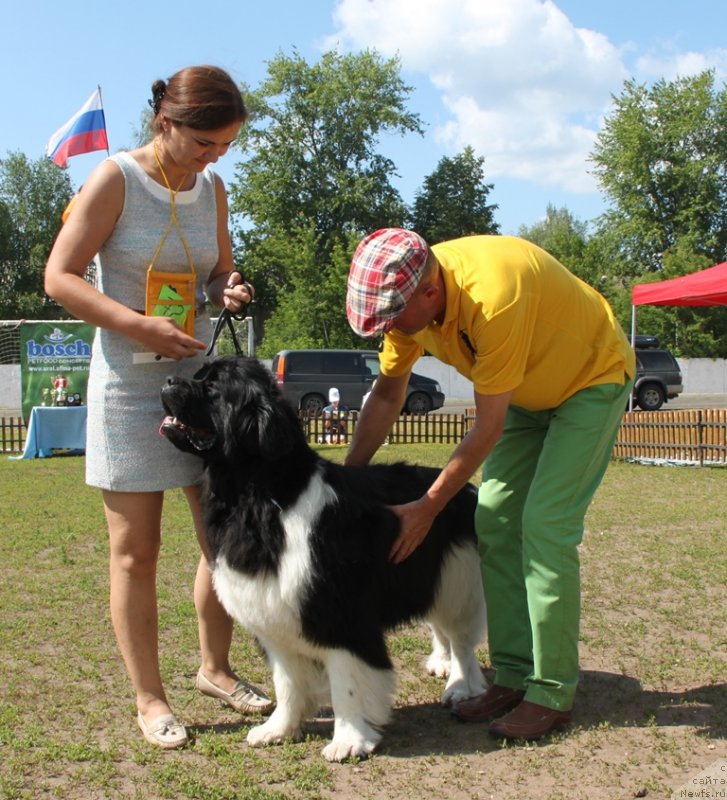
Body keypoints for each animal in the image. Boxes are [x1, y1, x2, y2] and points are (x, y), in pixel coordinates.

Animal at [161, 358, 490, 764]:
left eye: (213, 387)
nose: (168, 378)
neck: (259, 493)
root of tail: (465, 489)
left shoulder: (341, 614)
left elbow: (346, 681)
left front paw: (349, 740)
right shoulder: (274, 610)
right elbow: (287, 682)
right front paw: (279, 729)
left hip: (458, 580)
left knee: (461, 638)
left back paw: (461, 685)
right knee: (441, 628)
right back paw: (440, 663)